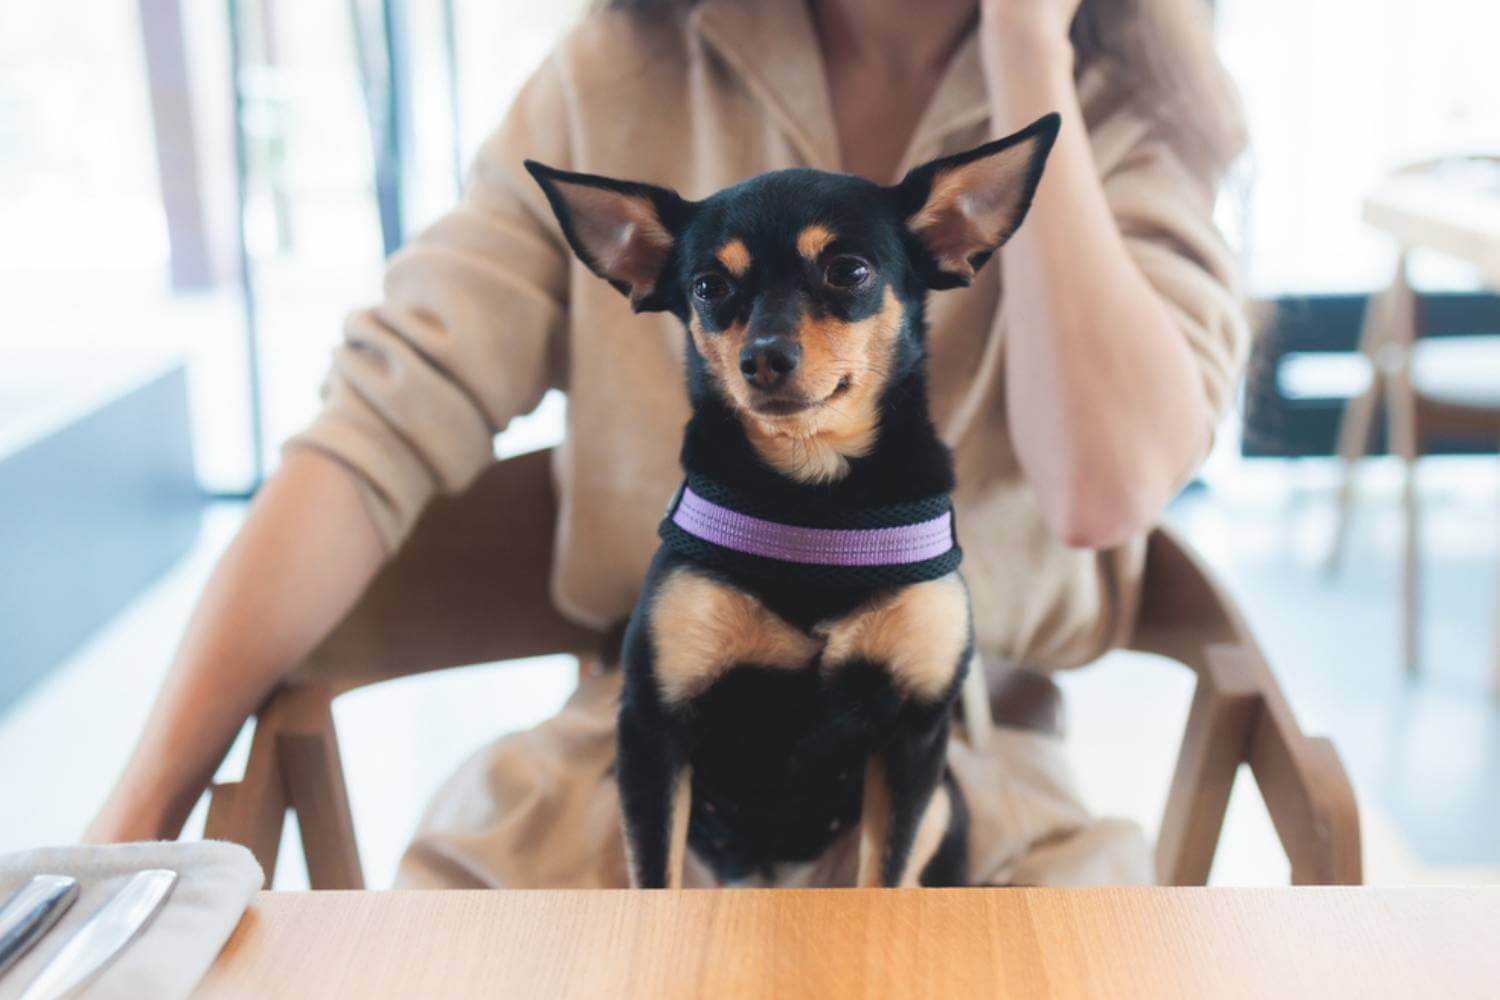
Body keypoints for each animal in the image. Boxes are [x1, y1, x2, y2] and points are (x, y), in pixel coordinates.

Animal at [534, 111, 1062, 893]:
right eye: (707, 286)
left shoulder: (915, 740)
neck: (815, 500)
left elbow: (884, 878)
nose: (763, 356)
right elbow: (654, 875)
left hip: (941, 801)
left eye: (849, 271)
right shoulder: (651, 734)